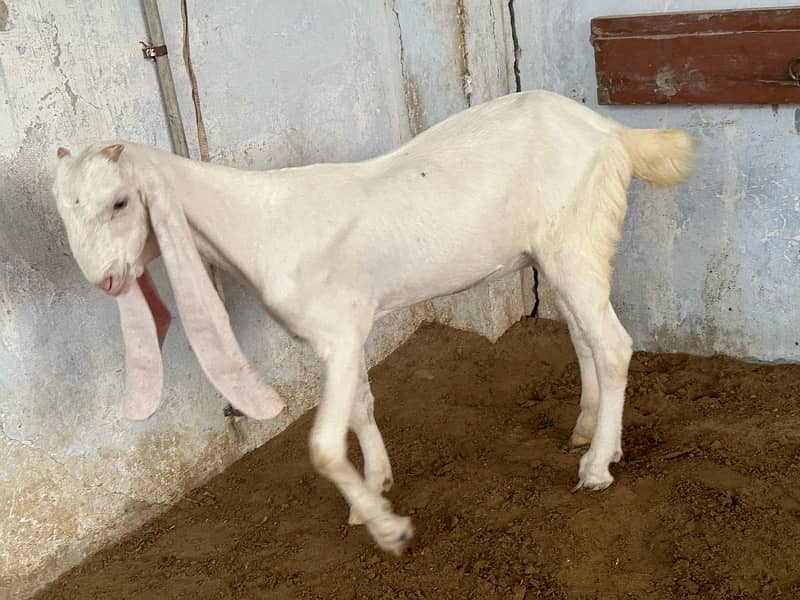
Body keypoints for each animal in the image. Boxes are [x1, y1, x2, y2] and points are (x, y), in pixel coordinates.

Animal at [53, 91, 696, 556]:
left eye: (120, 203)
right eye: (63, 210)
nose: (105, 280)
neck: (263, 223)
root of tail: (612, 134)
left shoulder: (338, 336)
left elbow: (322, 448)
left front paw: (389, 528)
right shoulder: (343, 331)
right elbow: (361, 405)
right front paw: (377, 487)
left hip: (575, 246)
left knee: (612, 344)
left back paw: (596, 468)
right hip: (556, 254)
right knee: (584, 337)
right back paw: (589, 431)